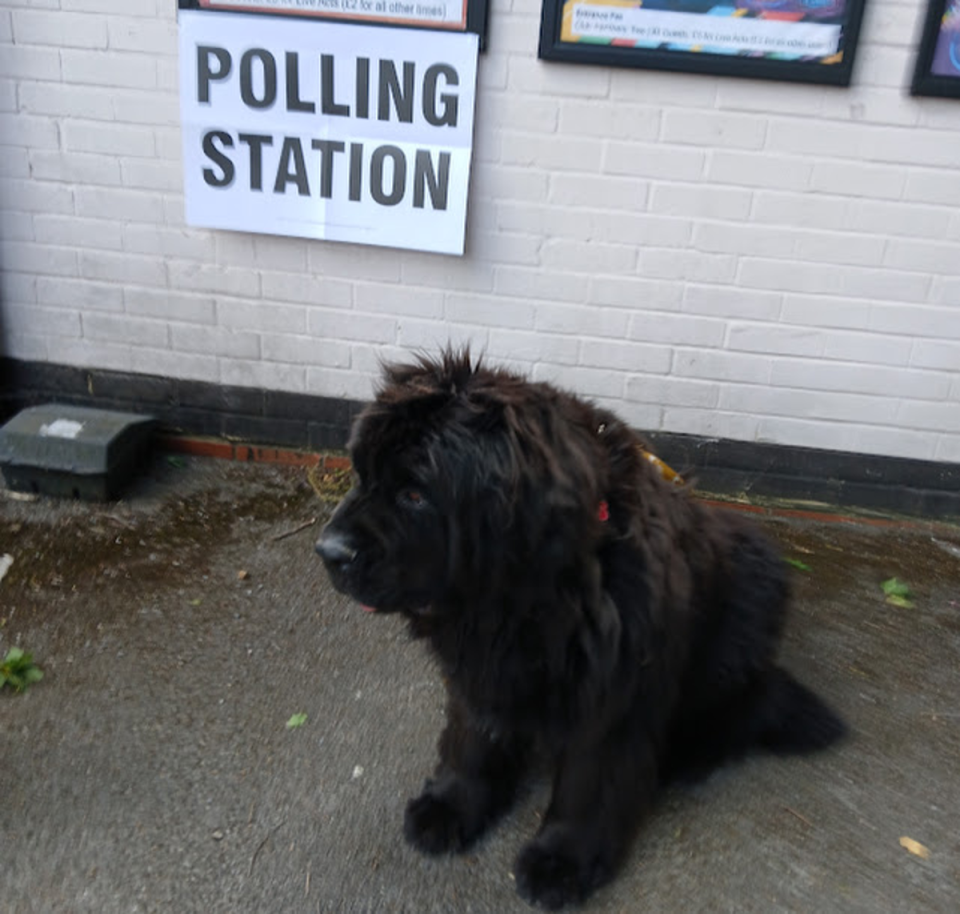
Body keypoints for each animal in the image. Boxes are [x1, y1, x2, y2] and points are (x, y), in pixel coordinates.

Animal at [318, 348, 844, 904]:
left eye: (415, 494)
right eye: (361, 474)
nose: (327, 552)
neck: (527, 596)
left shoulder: (614, 684)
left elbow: (589, 780)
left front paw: (563, 860)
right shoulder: (481, 667)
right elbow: (471, 737)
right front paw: (452, 804)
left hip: (754, 577)